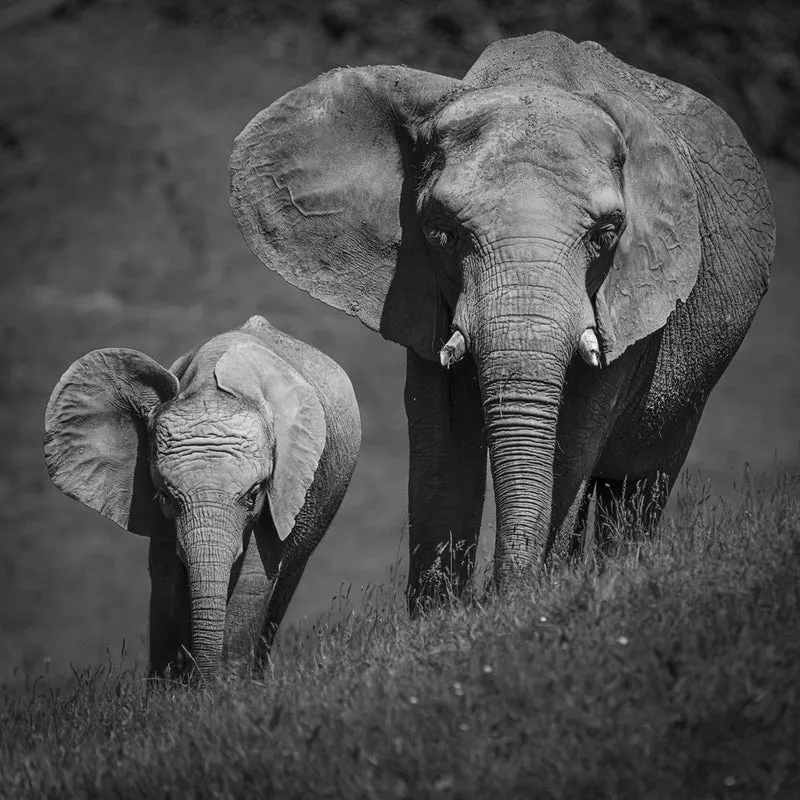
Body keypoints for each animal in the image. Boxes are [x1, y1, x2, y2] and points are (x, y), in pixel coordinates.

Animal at [44, 314, 361, 678]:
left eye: (253, 494)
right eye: (165, 497)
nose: (203, 680)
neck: (210, 388)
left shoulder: (281, 493)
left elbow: (252, 581)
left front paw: (225, 687)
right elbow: (166, 581)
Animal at [228, 32, 775, 609]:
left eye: (606, 235)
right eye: (443, 233)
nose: (502, 596)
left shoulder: (630, 300)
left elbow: (572, 441)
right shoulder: (422, 294)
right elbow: (443, 446)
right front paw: (441, 620)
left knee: (637, 484)